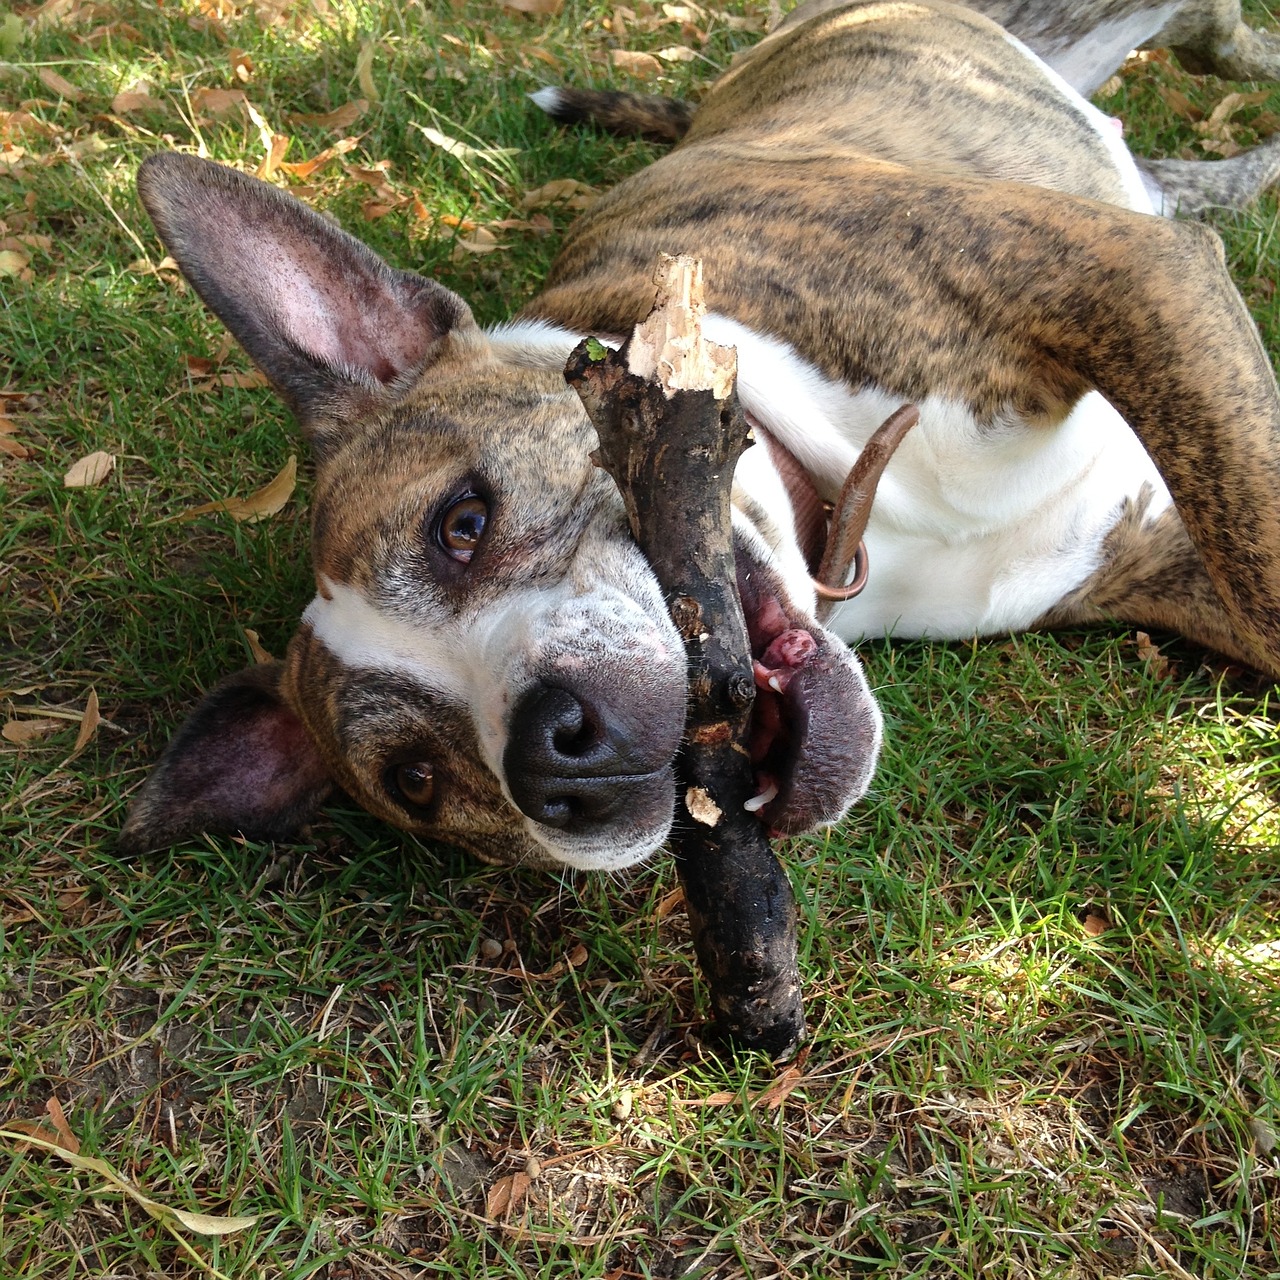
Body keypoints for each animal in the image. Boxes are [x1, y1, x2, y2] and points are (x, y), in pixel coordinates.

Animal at [120, 0, 1280, 870]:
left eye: (462, 521)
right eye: (415, 778)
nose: (554, 757)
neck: (850, 512)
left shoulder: (1125, 277)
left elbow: (1261, 575)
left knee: (1215, 40)